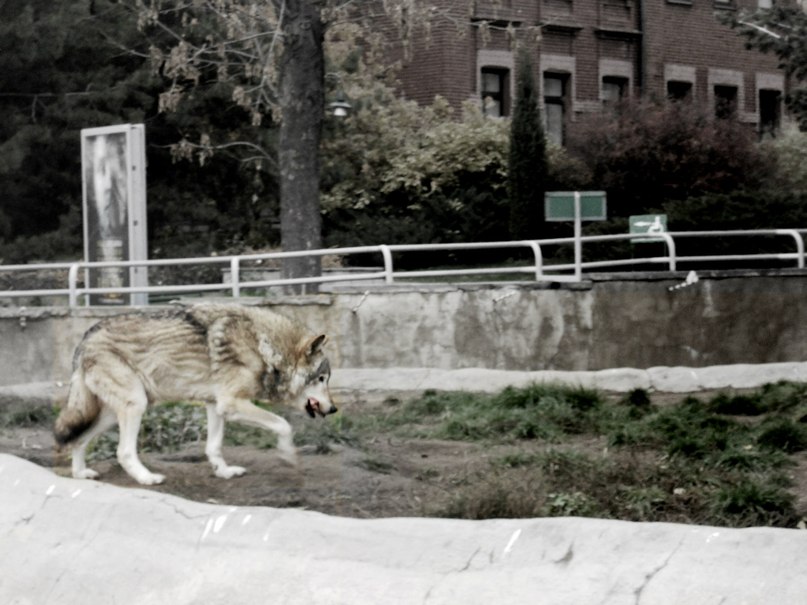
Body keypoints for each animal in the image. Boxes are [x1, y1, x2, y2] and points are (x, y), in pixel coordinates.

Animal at [53, 304, 336, 484]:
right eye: (322, 379)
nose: (334, 409)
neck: (264, 347)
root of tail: (84, 339)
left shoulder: (215, 405)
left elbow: (214, 446)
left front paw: (224, 472)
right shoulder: (231, 404)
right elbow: (283, 424)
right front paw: (288, 456)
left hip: (114, 413)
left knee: (79, 439)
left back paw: (81, 475)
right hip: (136, 404)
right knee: (122, 451)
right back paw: (147, 479)